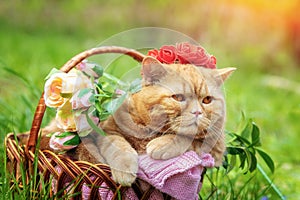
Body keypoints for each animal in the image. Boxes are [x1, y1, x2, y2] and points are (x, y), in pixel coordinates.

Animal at [22, 55, 236, 186]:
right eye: (178, 97)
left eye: (207, 100)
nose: (198, 112)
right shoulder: (109, 131)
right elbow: (120, 147)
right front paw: (125, 170)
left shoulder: (215, 150)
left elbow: (188, 139)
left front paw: (162, 145)